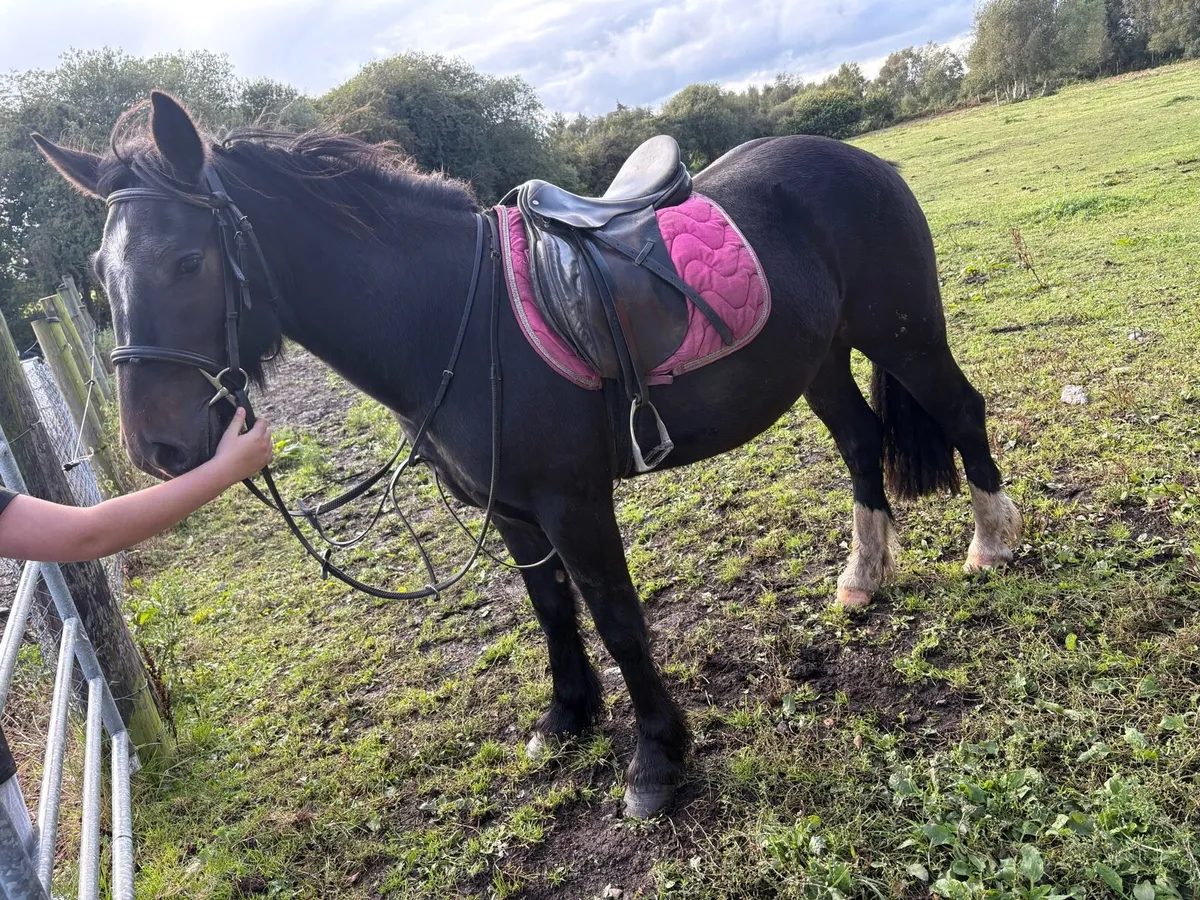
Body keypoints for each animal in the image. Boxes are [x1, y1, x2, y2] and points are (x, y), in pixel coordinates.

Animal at [33, 91, 1022, 818]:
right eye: (103, 272)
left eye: (188, 262)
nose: (157, 447)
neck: (453, 318)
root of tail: (862, 160)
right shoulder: (511, 511)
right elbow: (551, 612)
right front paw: (566, 717)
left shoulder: (574, 502)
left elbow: (617, 618)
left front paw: (655, 761)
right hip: (819, 357)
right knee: (860, 443)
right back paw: (863, 577)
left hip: (904, 335)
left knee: (964, 415)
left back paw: (992, 545)